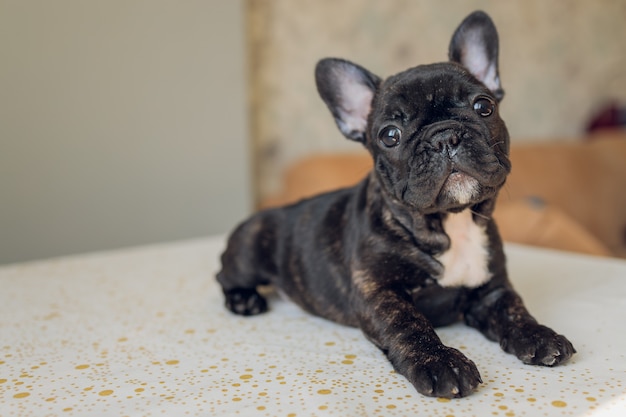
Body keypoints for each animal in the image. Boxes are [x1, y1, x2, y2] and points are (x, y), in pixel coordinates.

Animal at [217, 11, 572, 398]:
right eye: (390, 135)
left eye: (484, 106)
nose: (444, 136)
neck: (450, 223)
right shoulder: (381, 294)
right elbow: (410, 325)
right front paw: (441, 362)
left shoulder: (491, 288)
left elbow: (514, 309)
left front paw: (539, 335)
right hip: (248, 252)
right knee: (223, 274)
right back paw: (244, 300)